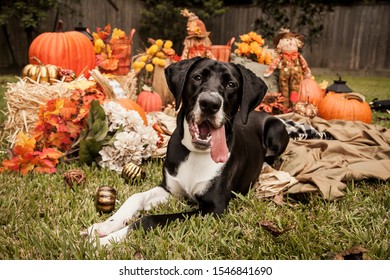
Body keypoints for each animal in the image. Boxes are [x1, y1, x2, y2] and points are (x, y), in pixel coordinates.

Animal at [86, 58, 290, 246]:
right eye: (197, 77)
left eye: (231, 84)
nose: (210, 104)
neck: (196, 153)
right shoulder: (170, 189)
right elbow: (135, 197)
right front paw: (102, 227)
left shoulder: (213, 209)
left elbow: (150, 219)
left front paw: (105, 241)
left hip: (277, 129)